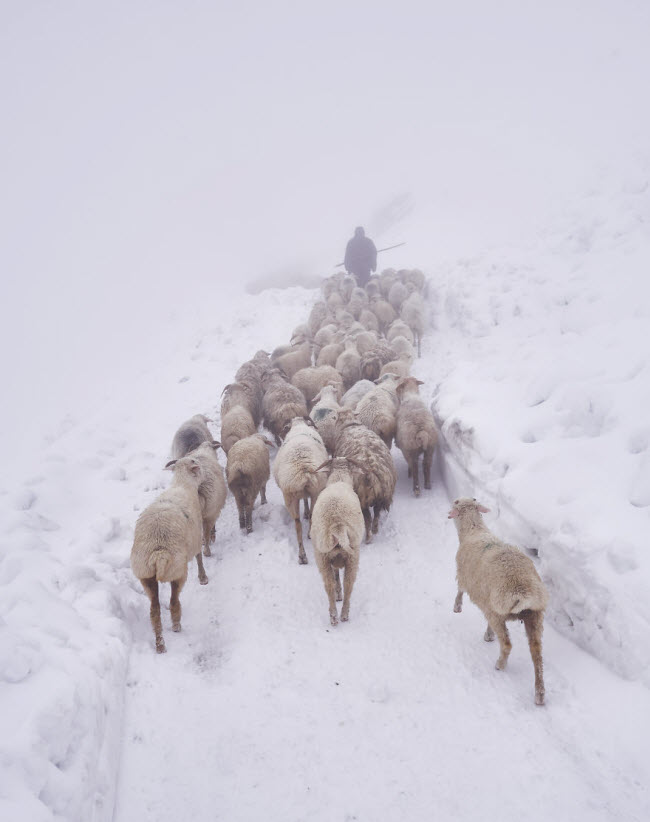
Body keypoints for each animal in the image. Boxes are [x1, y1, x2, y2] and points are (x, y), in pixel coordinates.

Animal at [128, 454, 204, 652]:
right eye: (196, 464)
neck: (182, 484)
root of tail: (159, 552)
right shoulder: (197, 538)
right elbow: (200, 556)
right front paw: (203, 578)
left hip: (145, 575)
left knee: (154, 610)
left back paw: (160, 644)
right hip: (178, 571)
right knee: (173, 601)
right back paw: (176, 626)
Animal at [270, 418, 326, 568]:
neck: (298, 426)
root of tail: (303, 470)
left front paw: (305, 512)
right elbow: (306, 502)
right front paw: (306, 512)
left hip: (291, 497)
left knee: (297, 524)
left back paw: (302, 555)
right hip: (315, 491)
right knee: (305, 519)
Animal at [308, 460, 364, 628]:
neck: (339, 480)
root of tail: (337, 525)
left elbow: (335, 576)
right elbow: (339, 576)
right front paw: (339, 595)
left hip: (323, 556)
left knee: (331, 585)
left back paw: (334, 616)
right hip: (351, 556)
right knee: (347, 584)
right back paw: (342, 615)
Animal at [334, 408, 394, 544]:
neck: (350, 425)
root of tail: (370, 473)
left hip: (362, 500)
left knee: (368, 519)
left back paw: (368, 538)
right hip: (381, 497)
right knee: (376, 514)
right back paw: (375, 529)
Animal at [446, 498, 548, 704]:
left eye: (456, 503)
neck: (474, 530)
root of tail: (522, 593)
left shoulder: (464, 576)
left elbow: (460, 590)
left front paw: (457, 607)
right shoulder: (487, 602)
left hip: (498, 612)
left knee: (507, 644)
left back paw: (500, 664)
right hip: (535, 615)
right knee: (537, 654)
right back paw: (539, 694)